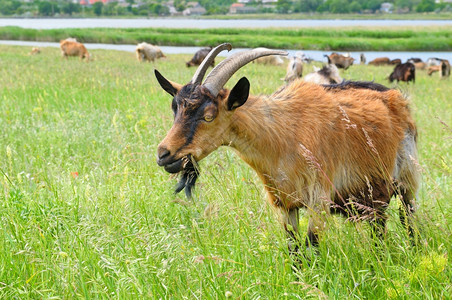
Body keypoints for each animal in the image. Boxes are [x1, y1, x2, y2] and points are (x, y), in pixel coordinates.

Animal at [155, 44, 420, 255]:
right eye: (175, 108)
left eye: (209, 116)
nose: (164, 154)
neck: (282, 134)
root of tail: (396, 97)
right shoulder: (285, 203)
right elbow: (294, 249)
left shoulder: (319, 199)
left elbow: (311, 246)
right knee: (379, 226)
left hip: (407, 179)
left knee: (408, 219)